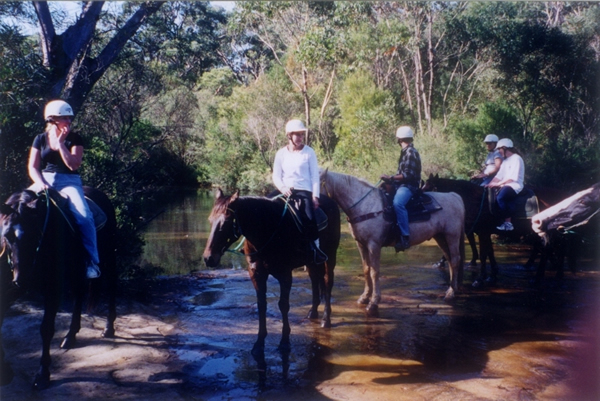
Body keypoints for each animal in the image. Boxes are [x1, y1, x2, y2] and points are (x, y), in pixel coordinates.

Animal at [0, 187, 116, 388]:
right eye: (7, 236)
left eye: (34, 234)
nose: (21, 279)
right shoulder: (14, 288)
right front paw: (5, 371)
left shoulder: (52, 288)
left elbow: (46, 329)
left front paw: (42, 375)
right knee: (79, 295)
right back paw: (70, 336)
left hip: (109, 260)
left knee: (112, 288)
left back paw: (108, 328)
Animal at [204, 189, 340, 358]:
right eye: (210, 221)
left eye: (226, 222)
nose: (209, 258)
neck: (267, 228)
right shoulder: (256, 273)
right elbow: (262, 305)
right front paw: (259, 343)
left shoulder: (285, 274)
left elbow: (283, 305)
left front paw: (285, 342)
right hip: (312, 262)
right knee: (315, 280)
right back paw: (312, 313)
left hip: (330, 255)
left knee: (327, 283)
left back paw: (326, 320)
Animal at [422, 173, 568, 286]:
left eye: (430, 191)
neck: (473, 201)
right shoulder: (483, 232)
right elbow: (489, 252)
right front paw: (492, 275)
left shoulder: (481, 231)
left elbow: (483, 253)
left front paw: (480, 279)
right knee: (551, 248)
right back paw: (555, 274)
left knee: (549, 249)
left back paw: (538, 277)